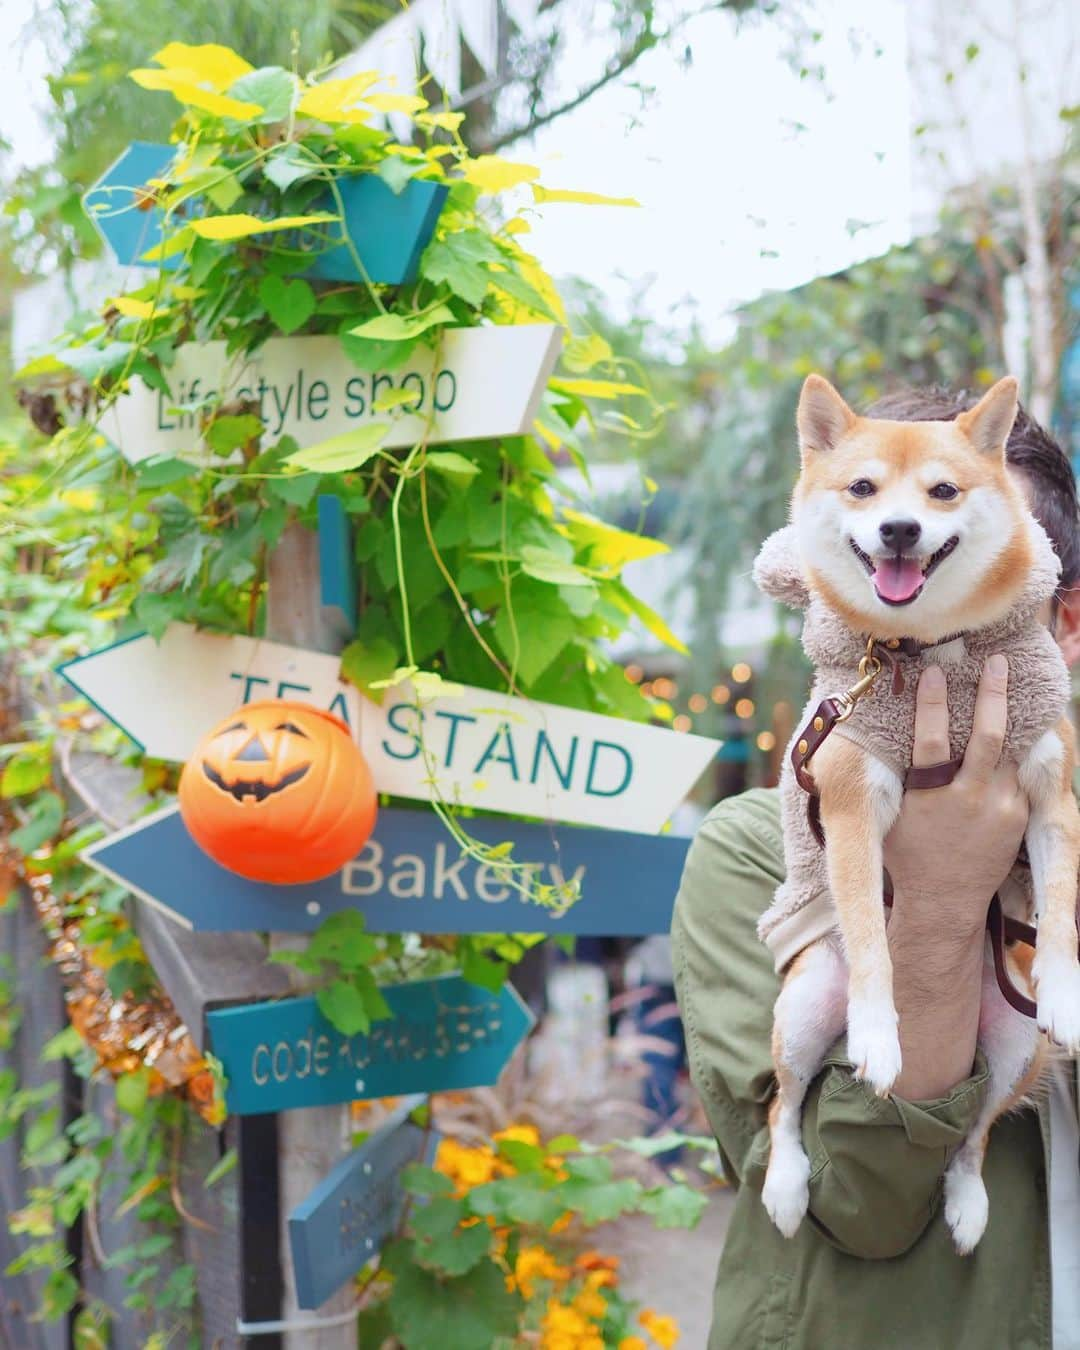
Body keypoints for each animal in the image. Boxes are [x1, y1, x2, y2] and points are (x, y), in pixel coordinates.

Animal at [750, 372, 1080, 1252]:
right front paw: (877, 1031)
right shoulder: (850, 802)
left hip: (1009, 1048)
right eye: (863, 488)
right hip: (804, 1008)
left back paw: (966, 1202)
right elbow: (872, 936)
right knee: (782, 1104)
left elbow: (1061, 909)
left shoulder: (1051, 789)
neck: (936, 656)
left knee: (973, 1132)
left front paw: (1068, 991)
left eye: (942, 491)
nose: (899, 528)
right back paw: (786, 1186)